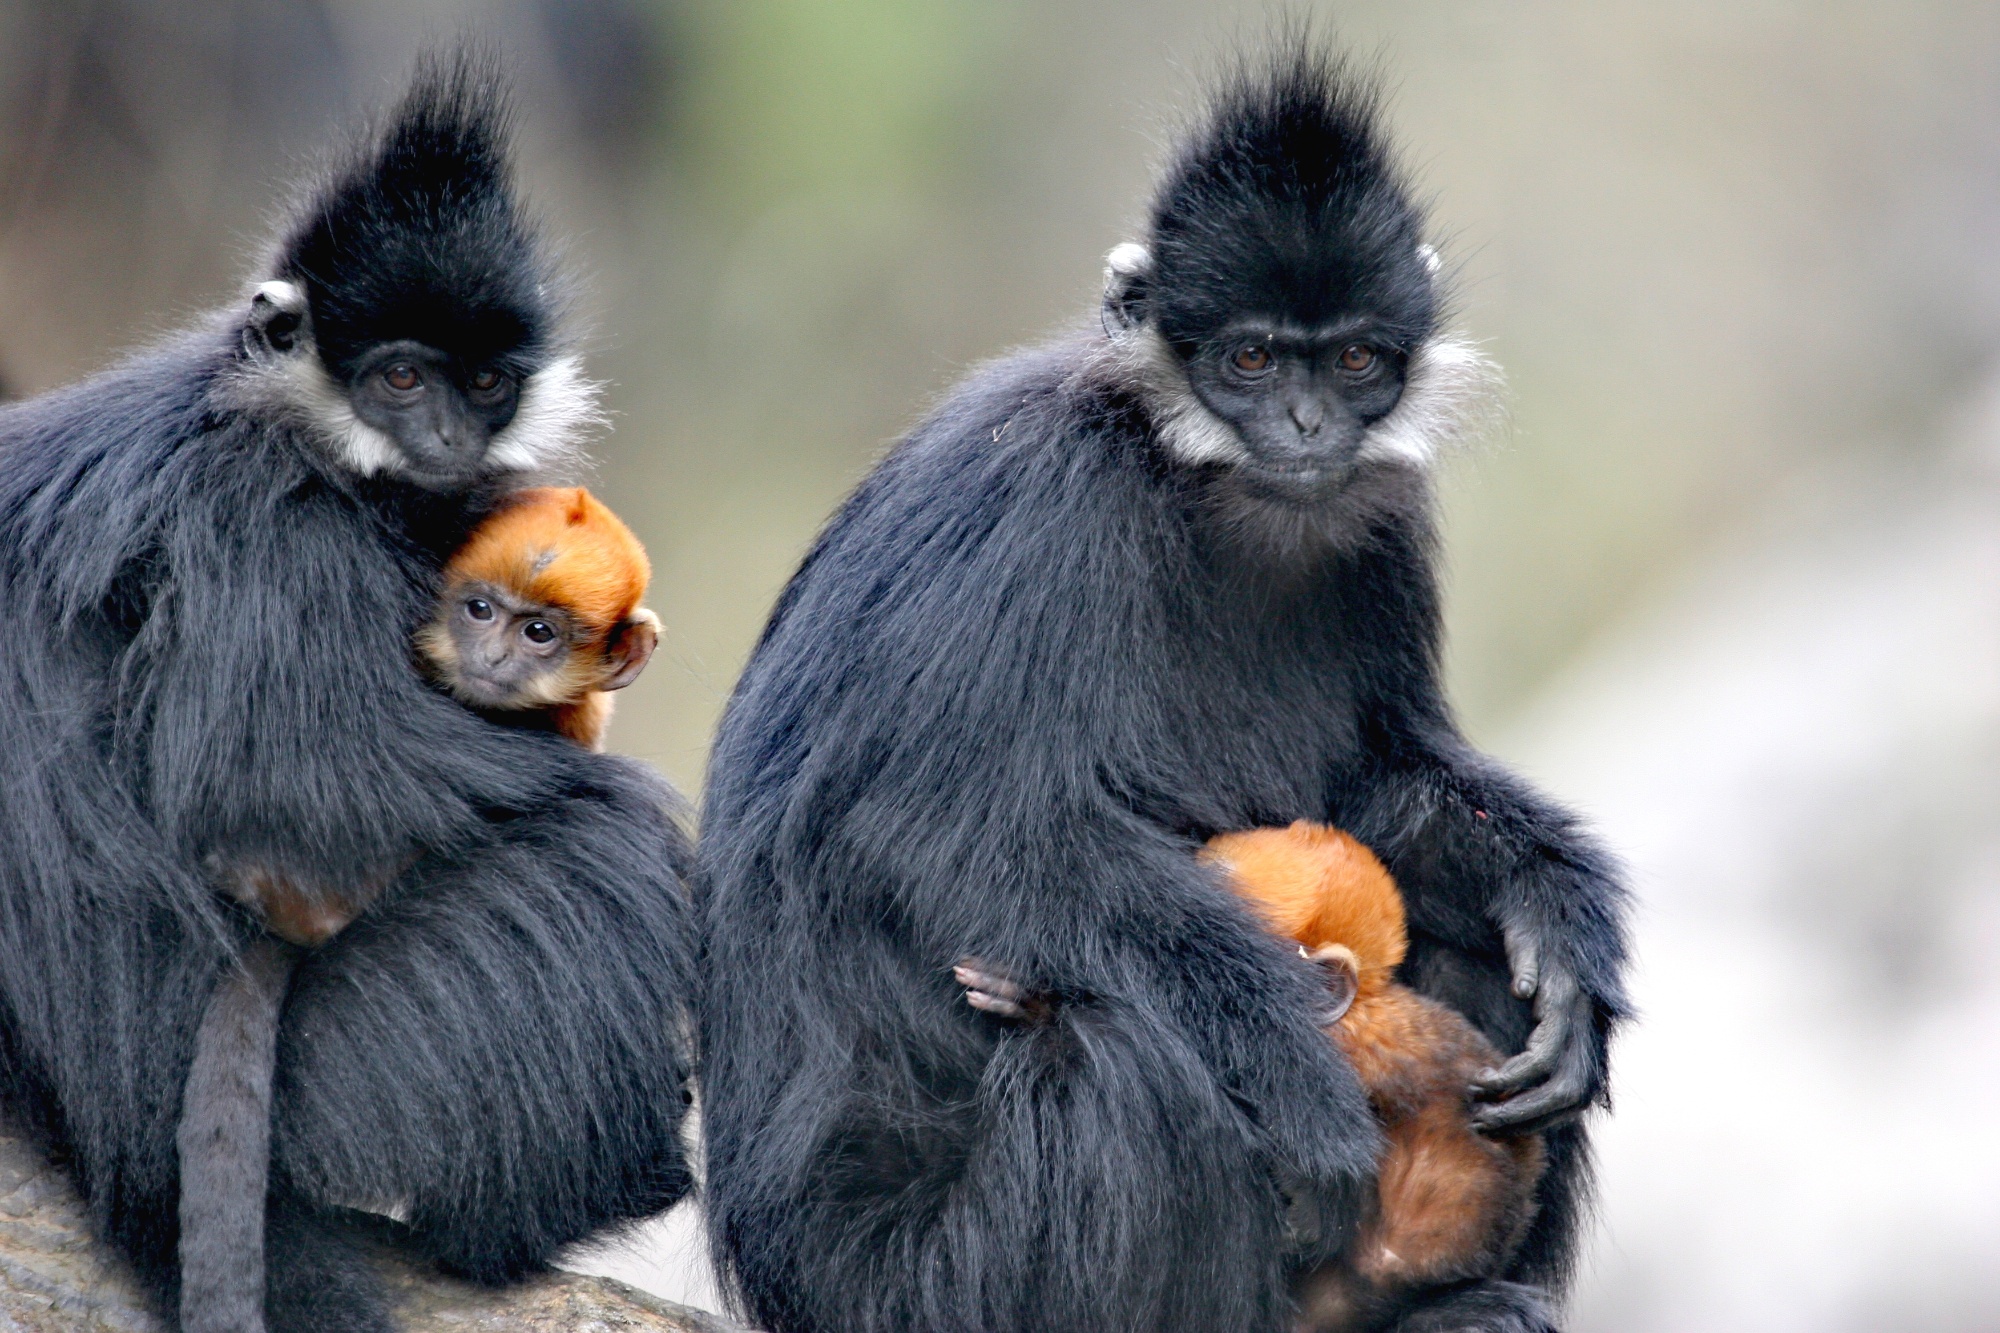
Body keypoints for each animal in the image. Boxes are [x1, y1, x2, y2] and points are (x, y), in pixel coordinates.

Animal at [697, 40, 1627, 1333]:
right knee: (1129, 1063)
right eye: (1248, 357)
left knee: (1458, 956)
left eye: (1351, 358)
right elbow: (944, 828)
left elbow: (1376, 778)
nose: (1304, 423)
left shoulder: (1380, 522)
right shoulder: (1037, 496)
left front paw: (1555, 912)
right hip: (914, 1289)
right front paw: (1301, 1080)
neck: (1202, 486)